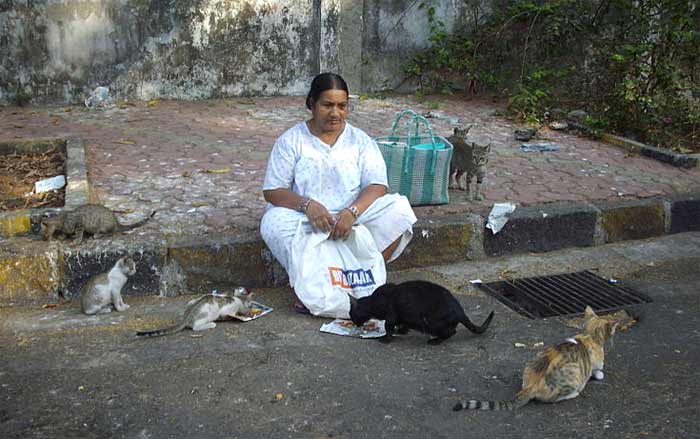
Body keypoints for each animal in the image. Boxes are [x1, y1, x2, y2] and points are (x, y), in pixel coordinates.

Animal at [348, 280, 492, 346]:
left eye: (351, 315)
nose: (354, 323)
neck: (373, 301)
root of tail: (459, 309)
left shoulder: (390, 315)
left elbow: (388, 328)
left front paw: (386, 338)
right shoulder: (401, 317)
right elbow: (401, 325)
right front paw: (401, 331)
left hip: (434, 324)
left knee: (451, 332)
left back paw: (435, 341)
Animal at [452, 306, 616, 412]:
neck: (589, 335)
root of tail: (531, 386)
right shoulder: (596, 365)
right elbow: (597, 371)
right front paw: (599, 374)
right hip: (573, 375)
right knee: (554, 398)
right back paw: (574, 393)